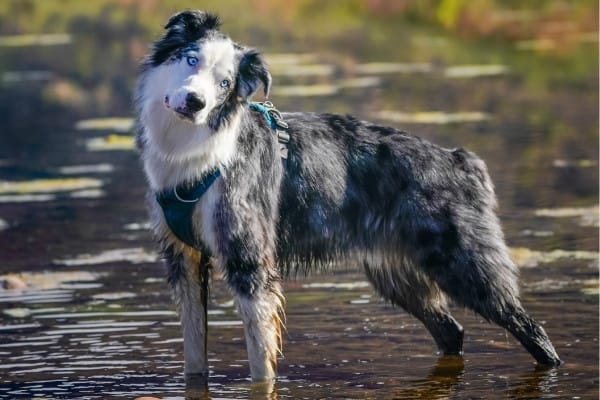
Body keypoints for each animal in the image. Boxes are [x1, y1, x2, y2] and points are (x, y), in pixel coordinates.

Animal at [134, 10, 560, 382]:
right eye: (191, 59)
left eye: (225, 83)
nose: (195, 103)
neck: (193, 151)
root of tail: (461, 160)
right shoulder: (184, 262)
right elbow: (194, 359)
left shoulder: (249, 263)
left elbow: (261, 364)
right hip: (397, 274)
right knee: (451, 331)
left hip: (465, 265)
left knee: (532, 329)